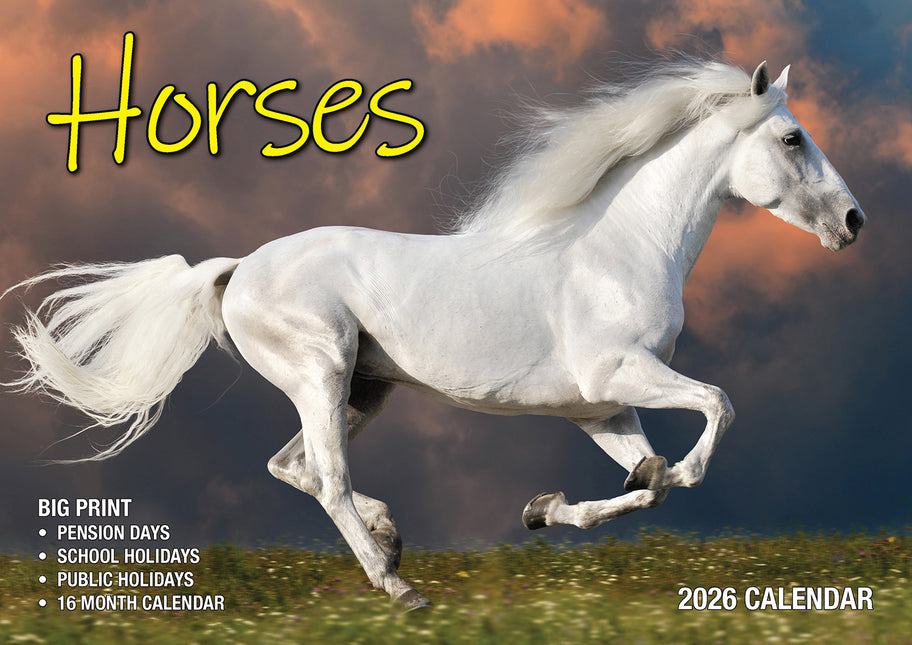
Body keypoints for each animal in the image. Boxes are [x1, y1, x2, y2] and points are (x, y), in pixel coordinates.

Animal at [4, 60, 865, 610]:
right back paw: (398, 585)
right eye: (793, 138)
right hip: (321, 373)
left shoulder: (599, 407)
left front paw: (545, 510)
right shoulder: (620, 374)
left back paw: (390, 538)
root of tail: (239, 267)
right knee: (327, 477)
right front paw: (651, 476)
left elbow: (646, 480)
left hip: (362, 390)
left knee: (295, 466)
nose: (854, 221)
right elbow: (714, 411)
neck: (617, 249)